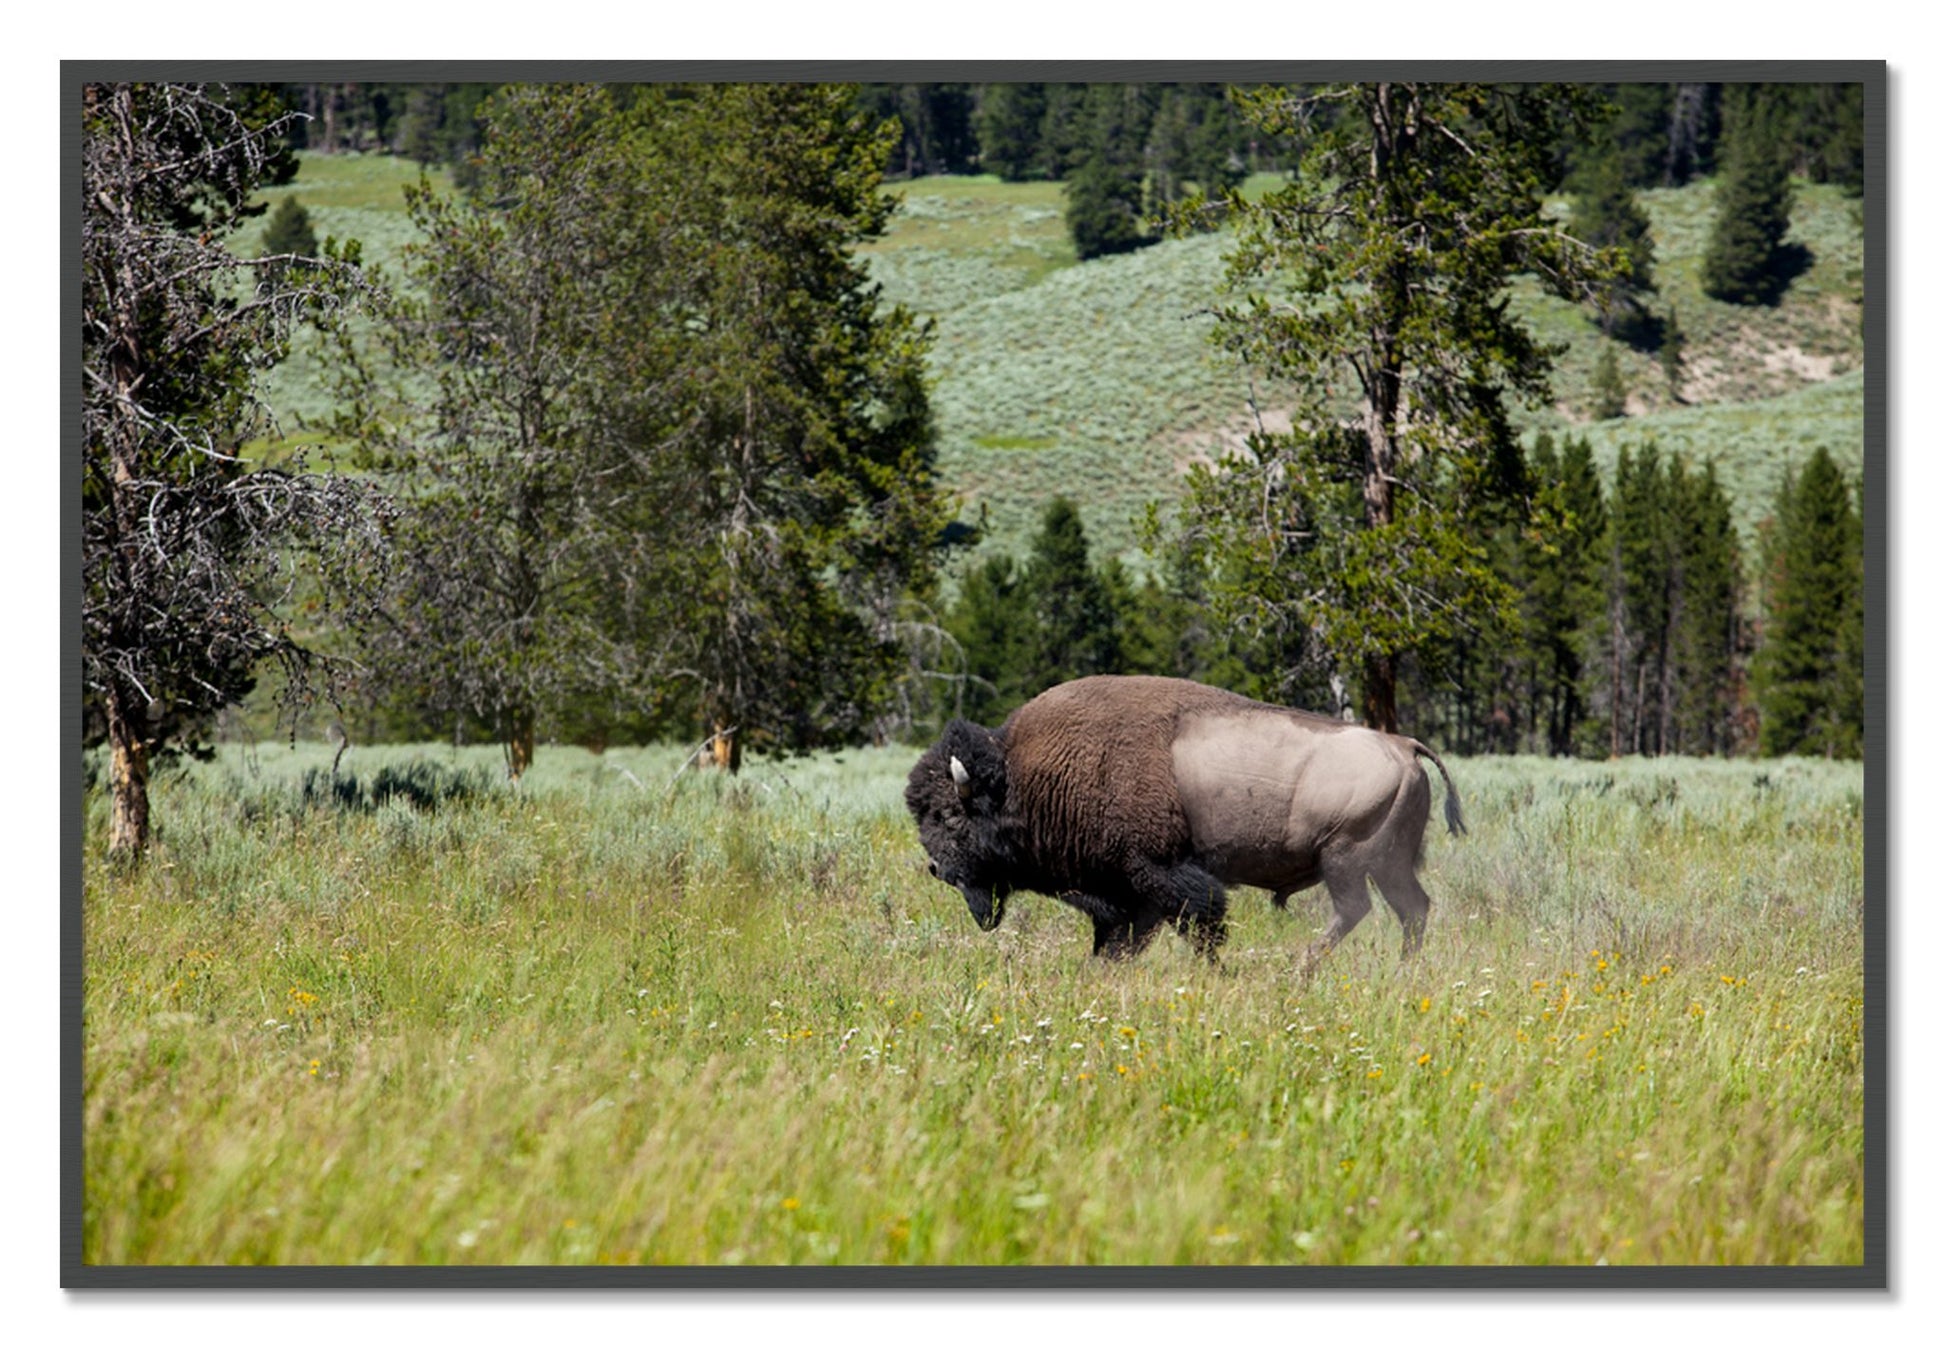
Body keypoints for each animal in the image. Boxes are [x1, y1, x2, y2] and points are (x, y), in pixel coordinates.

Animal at [905, 675, 1465, 971]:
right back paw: (1402, 969)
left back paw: (1300, 968)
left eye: (949, 815)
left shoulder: (1159, 874)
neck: (1023, 776)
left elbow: (1200, 924)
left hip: (1345, 858)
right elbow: (1121, 939)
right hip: (1388, 864)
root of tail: (1403, 745)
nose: (937, 868)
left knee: (1356, 910)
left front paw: (1216, 971)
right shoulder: (1127, 894)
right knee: (1412, 909)